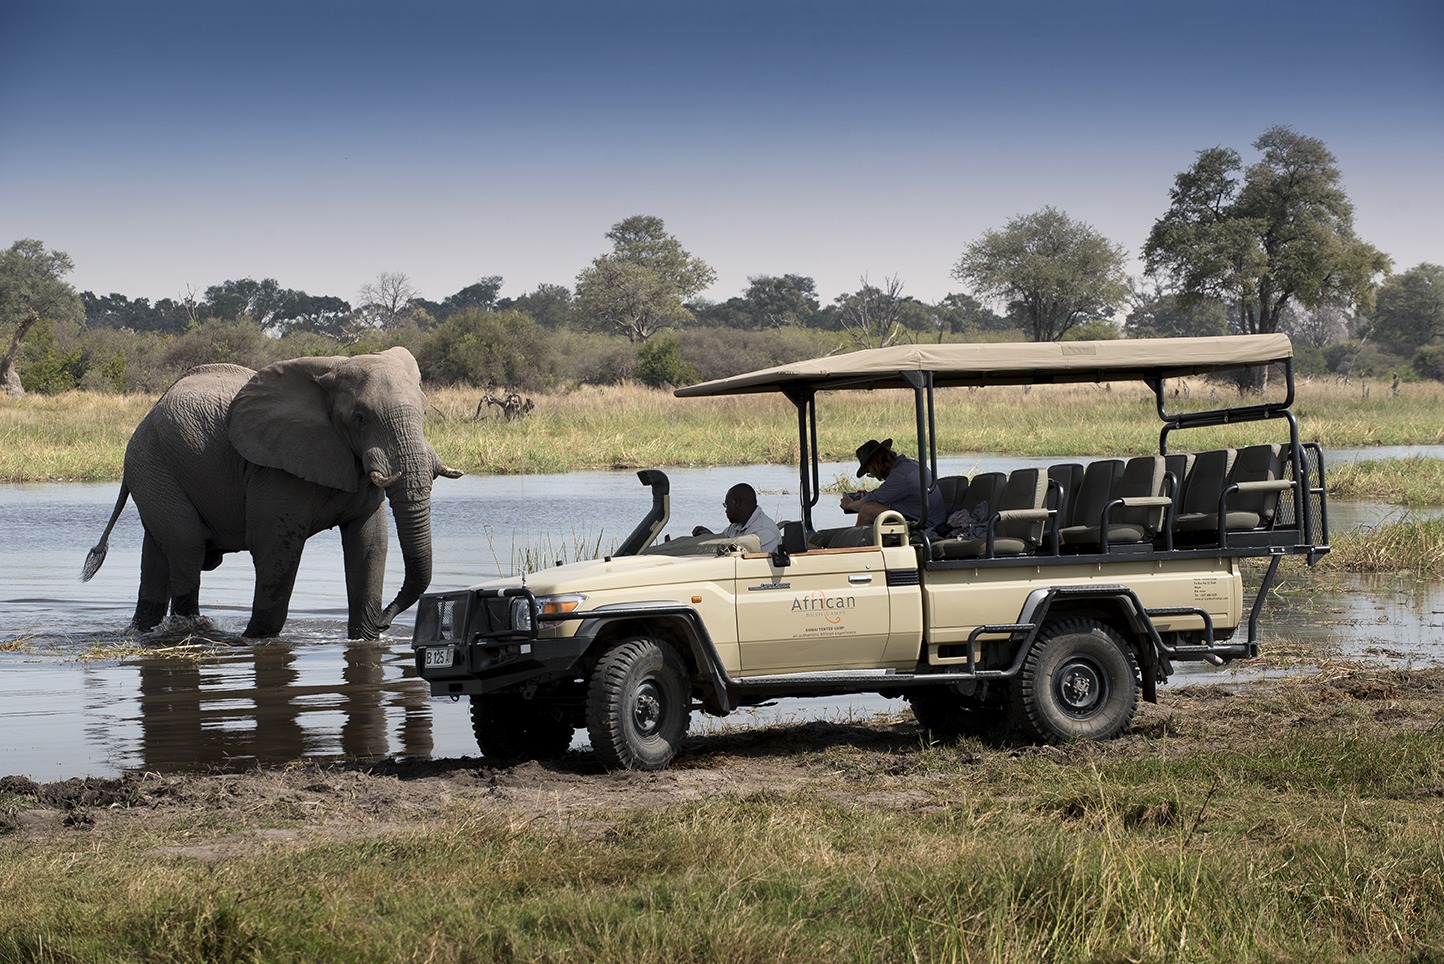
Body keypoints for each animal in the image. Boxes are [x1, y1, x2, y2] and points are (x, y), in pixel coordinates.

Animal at [82, 347, 463, 639]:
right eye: (360, 418)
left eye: (424, 412)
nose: (386, 622)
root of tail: (146, 417)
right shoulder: (274, 470)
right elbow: (277, 550)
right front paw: (255, 639)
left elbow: (369, 544)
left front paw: (366, 639)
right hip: (152, 465)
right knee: (186, 549)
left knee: (158, 555)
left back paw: (143, 631)